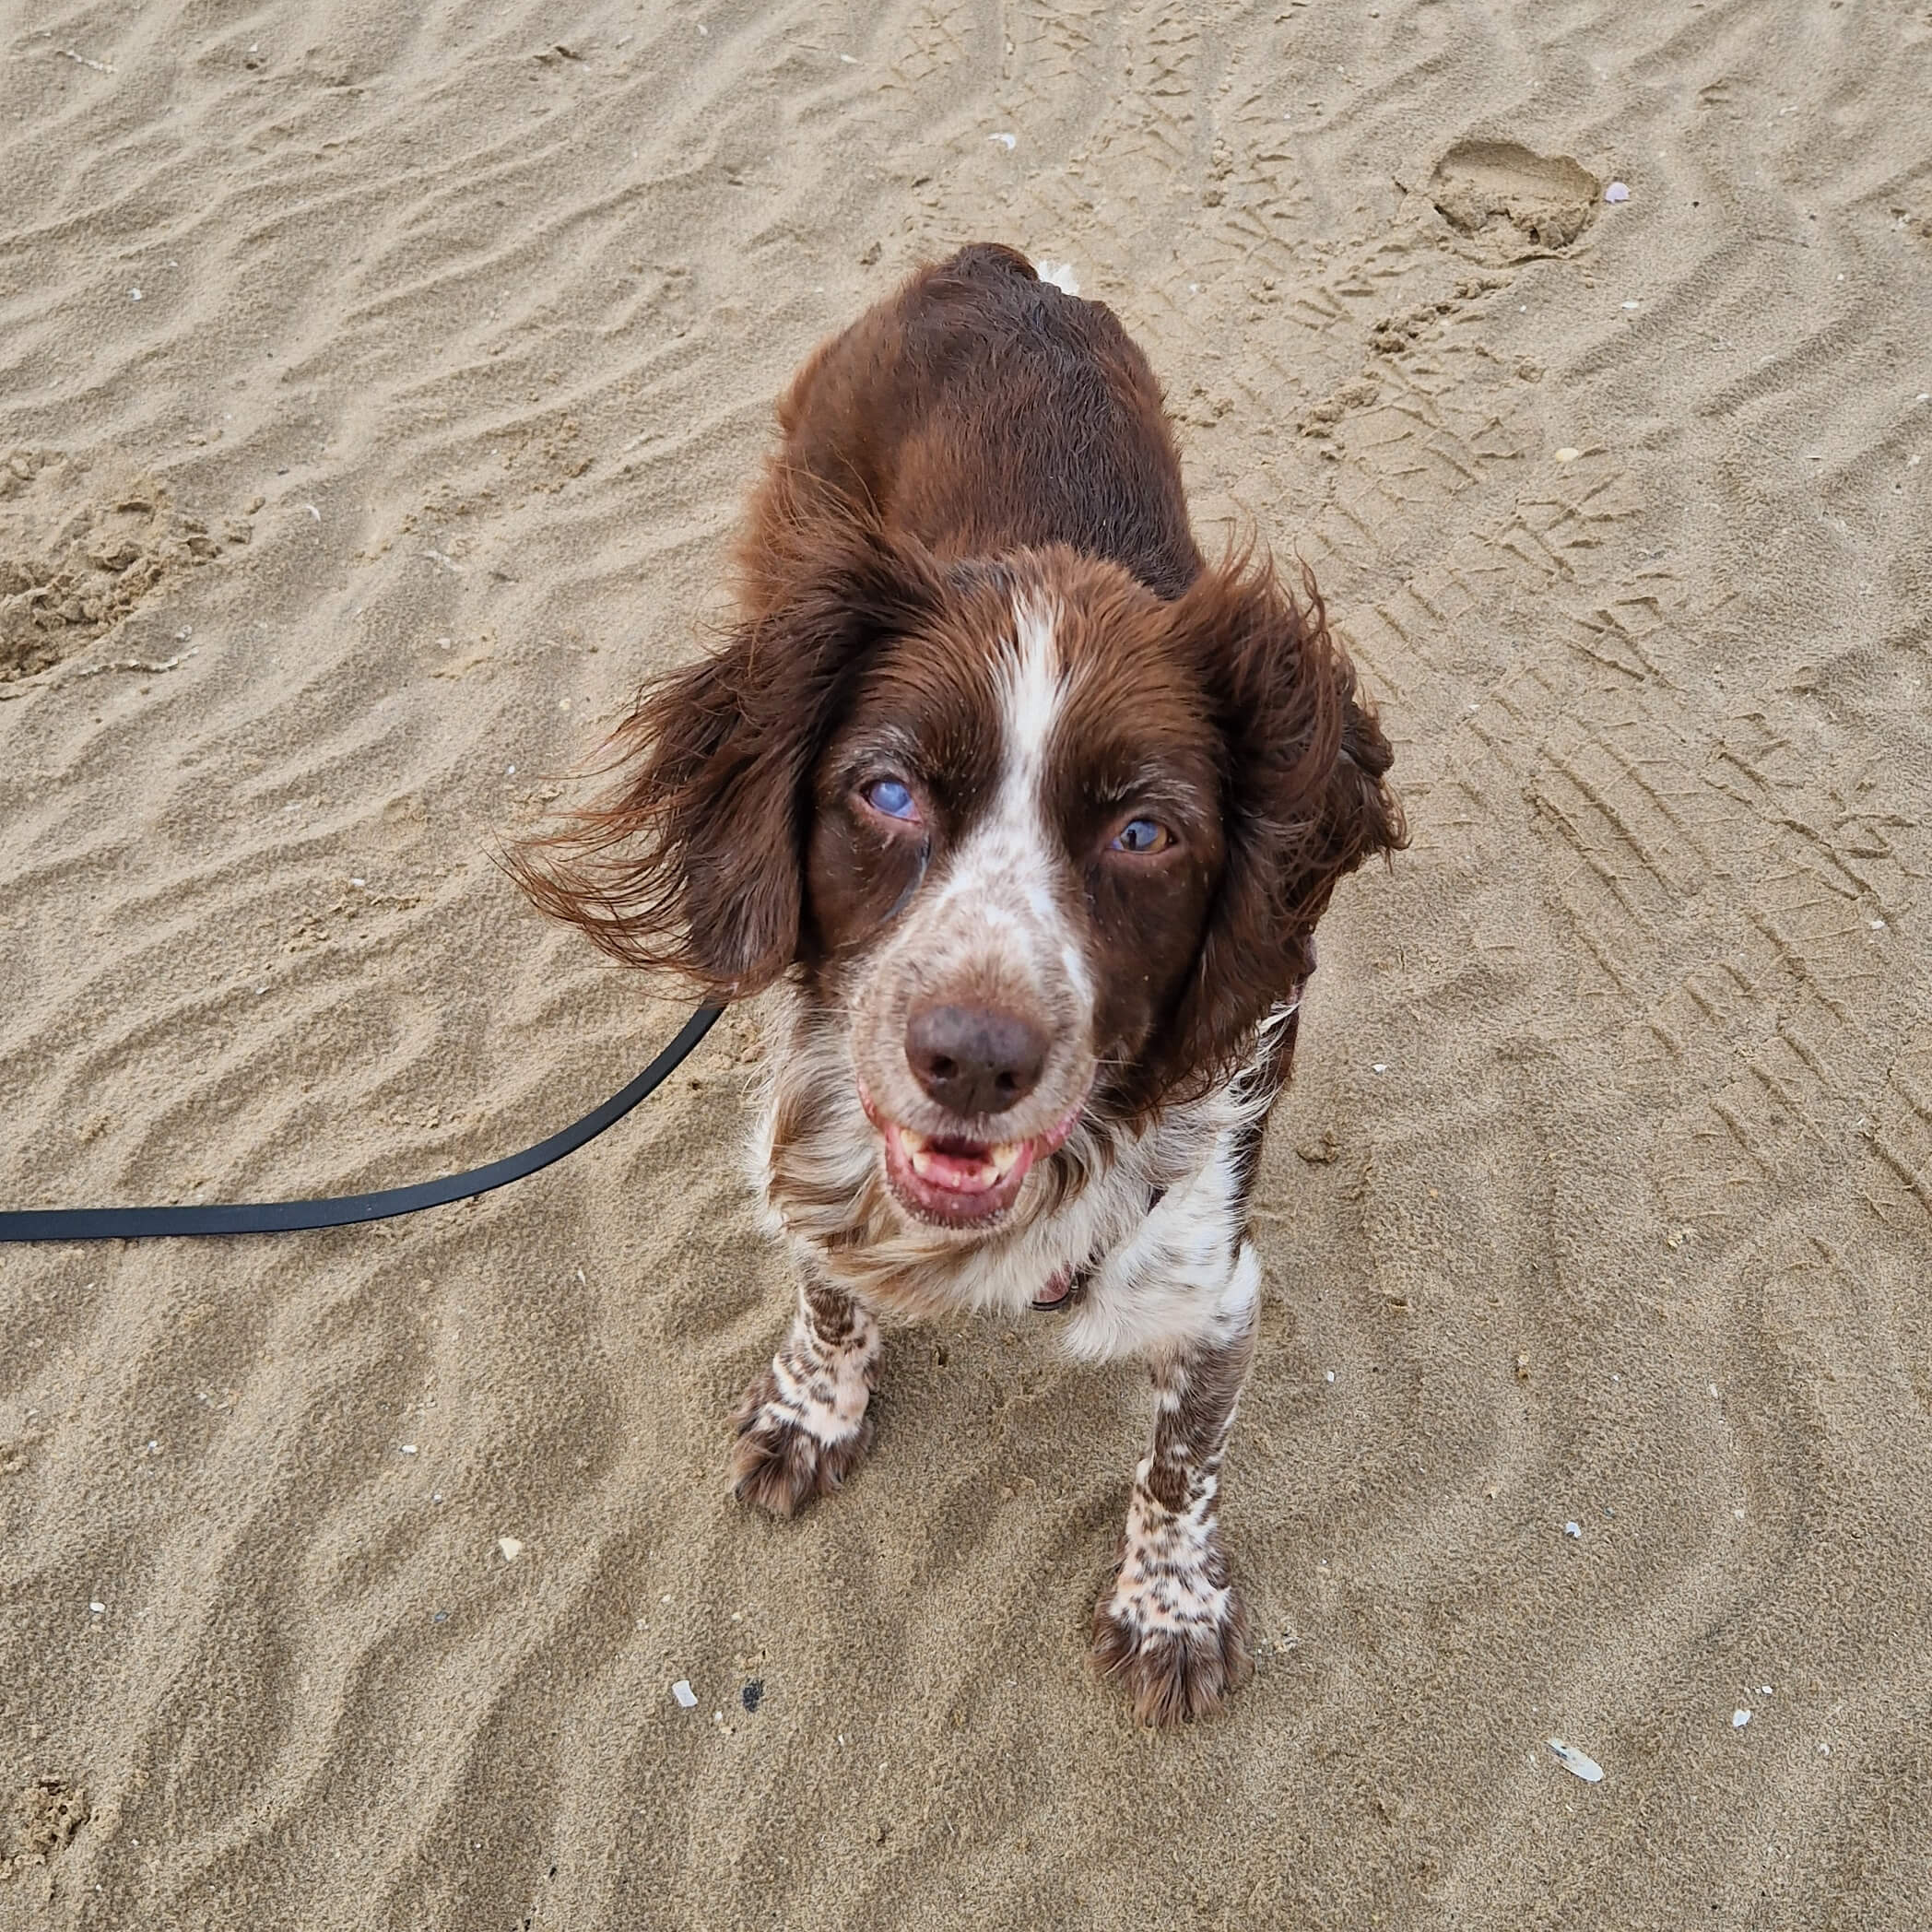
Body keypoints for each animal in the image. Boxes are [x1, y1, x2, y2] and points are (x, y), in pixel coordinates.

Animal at [512, 243, 1403, 1725]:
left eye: (1144, 831)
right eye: (885, 792)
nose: (973, 1059)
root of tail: (993, 263)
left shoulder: (1214, 1280)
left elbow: (1184, 1453)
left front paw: (1168, 1605)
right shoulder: (816, 1135)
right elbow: (826, 1278)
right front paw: (811, 1407)